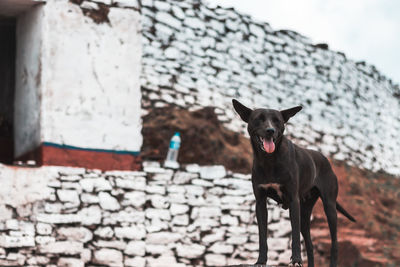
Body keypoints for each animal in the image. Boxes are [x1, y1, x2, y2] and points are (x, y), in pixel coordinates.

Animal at [231, 100, 356, 267]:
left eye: (277, 120)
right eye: (259, 119)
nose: (270, 131)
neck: (269, 160)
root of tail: (325, 160)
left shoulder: (293, 201)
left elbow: (295, 235)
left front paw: (296, 259)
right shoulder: (260, 202)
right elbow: (262, 236)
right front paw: (261, 260)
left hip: (329, 207)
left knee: (334, 243)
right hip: (305, 212)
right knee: (310, 245)